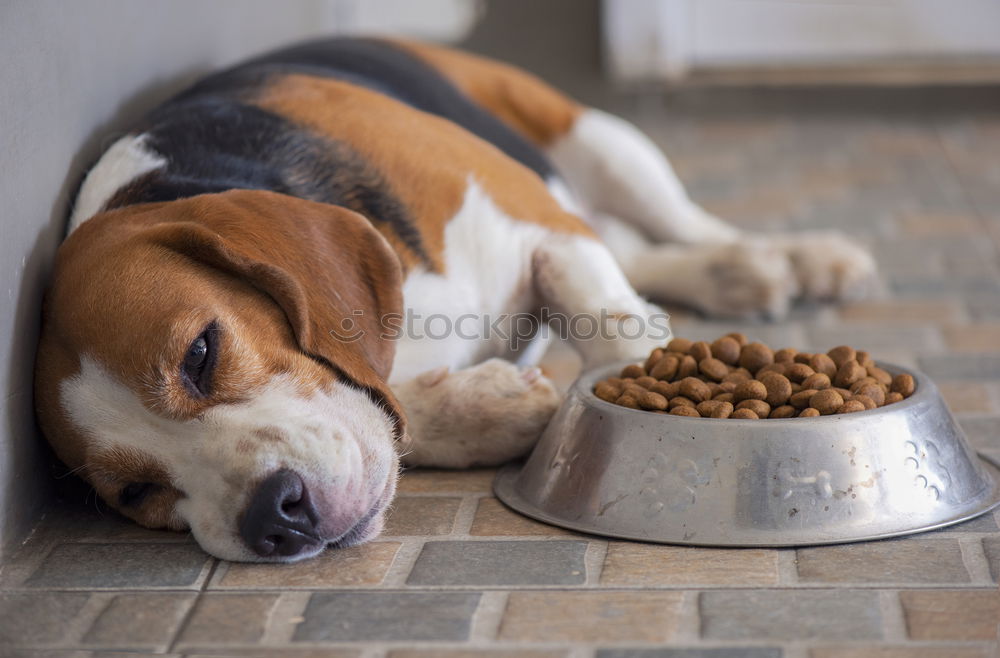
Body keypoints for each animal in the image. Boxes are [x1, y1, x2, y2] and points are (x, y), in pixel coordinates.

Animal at [33, 37, 876, 560]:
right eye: (137, 492)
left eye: (201, 354)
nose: (272, 515)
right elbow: (394, 406)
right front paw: (487, 411)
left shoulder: (539, 221)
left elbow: (609, 323)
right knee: (642, 248)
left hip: (599, 141)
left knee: (683, 220)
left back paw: (785, 261)